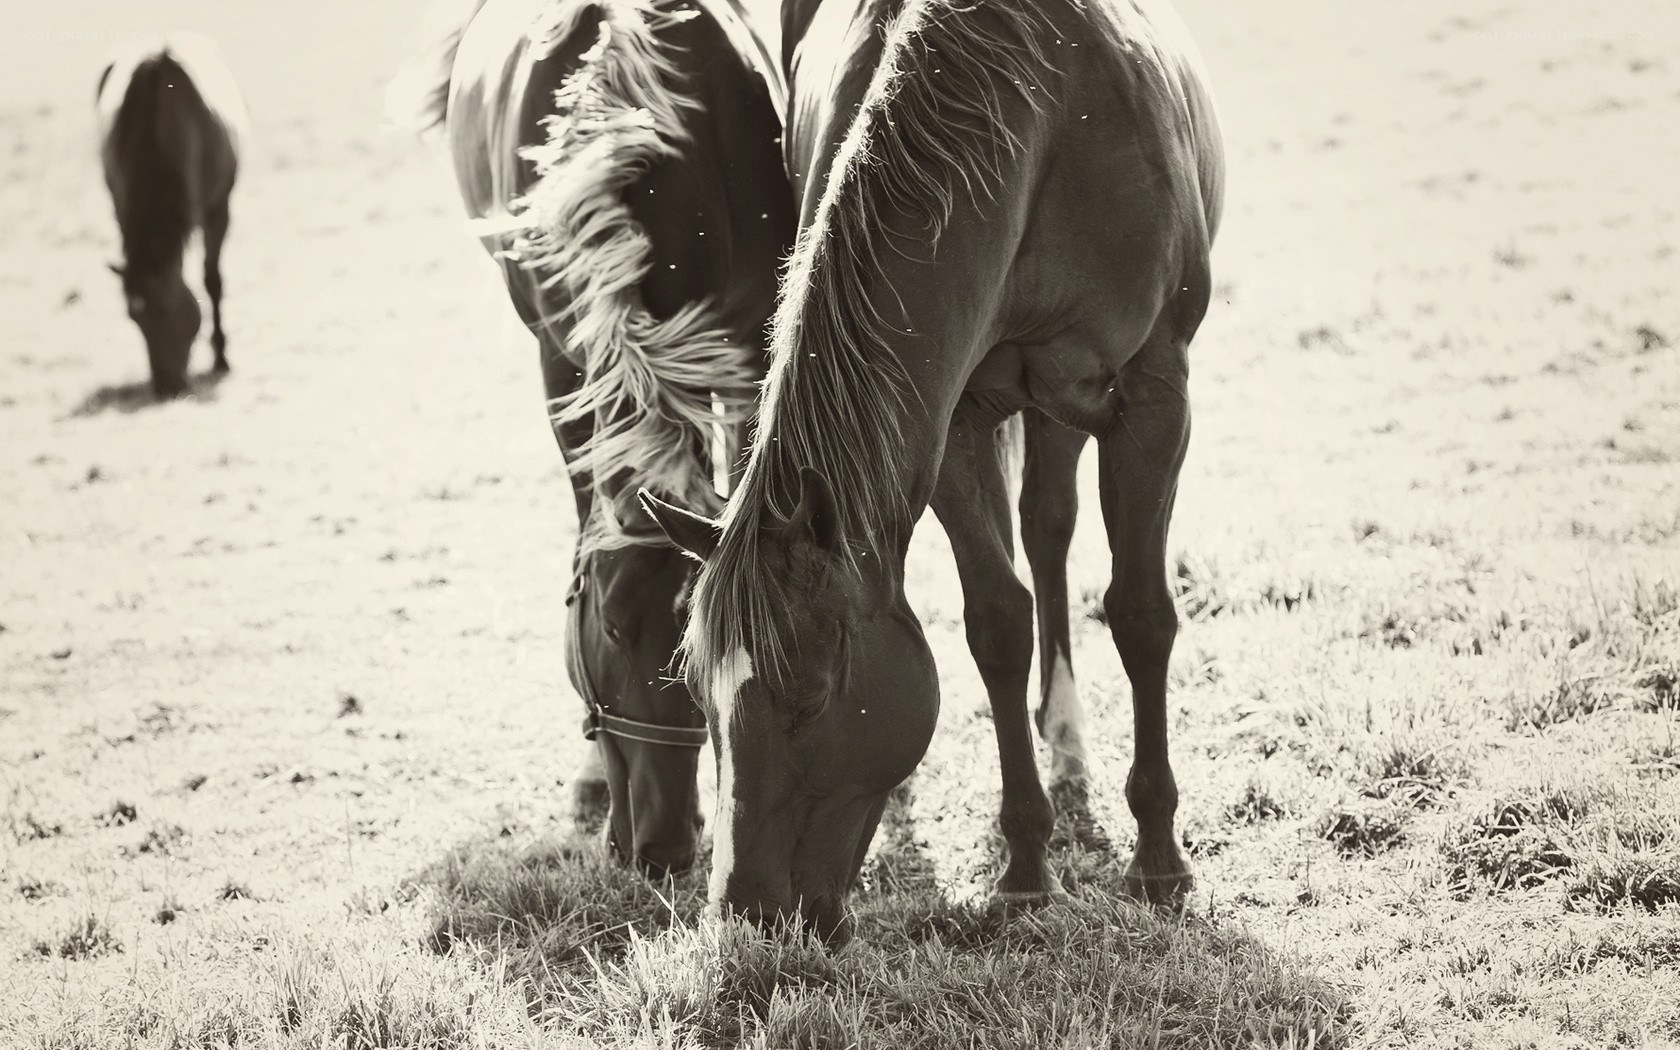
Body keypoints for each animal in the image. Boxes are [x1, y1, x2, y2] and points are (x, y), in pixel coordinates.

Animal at [97, 35, 246, 399]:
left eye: (167, 309)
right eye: (134, 319)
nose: (166, 387)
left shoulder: (218, 210)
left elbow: (212, 281)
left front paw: (221, 357)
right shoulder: (122, 209)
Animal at [642, 0, 1223, 943]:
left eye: (810, 694)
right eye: (697, 694)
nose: (746, 915)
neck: (1043, 115)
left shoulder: (1153, 395)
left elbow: (1139, 614)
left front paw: (1160, 862)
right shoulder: (953, 418)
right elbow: (997, 623)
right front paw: (1025, 869)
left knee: (1053, 527)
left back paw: (1070, 740)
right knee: (1042, 527)